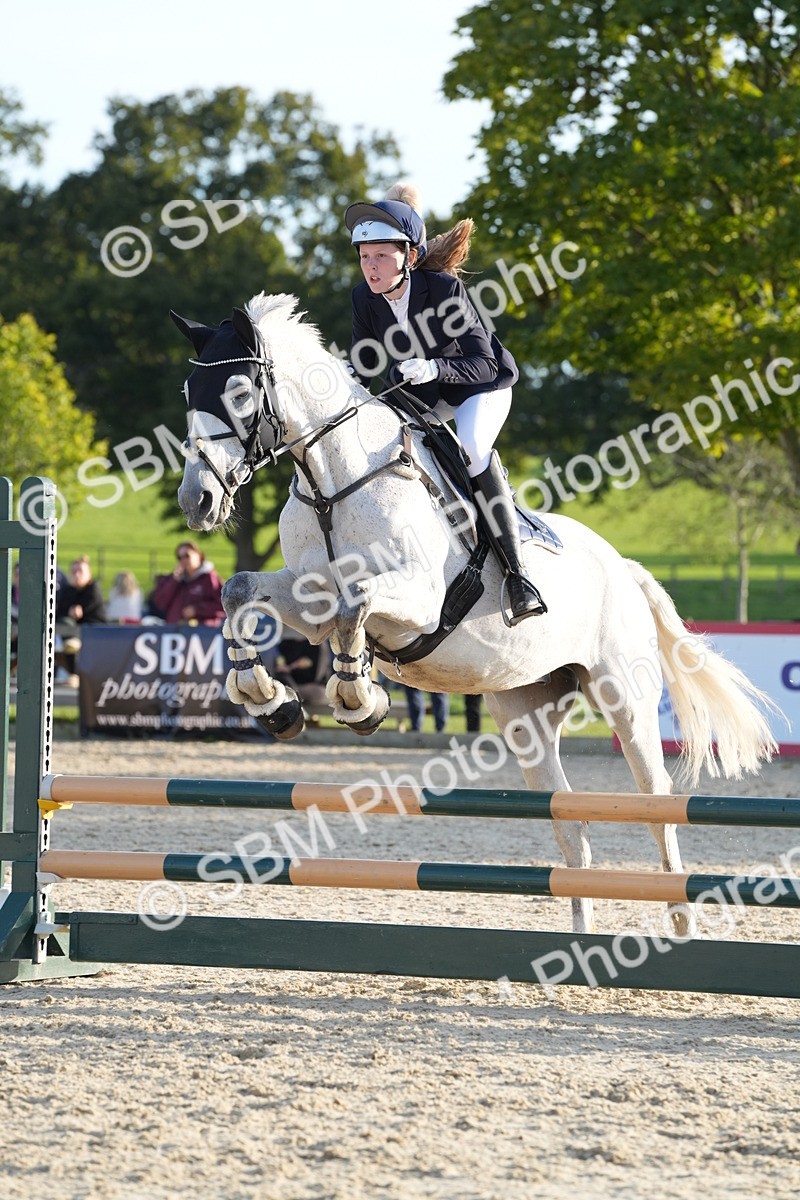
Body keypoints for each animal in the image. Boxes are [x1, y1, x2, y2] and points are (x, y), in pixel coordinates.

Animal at [172, 291, 777, 936]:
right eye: (188, 393)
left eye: (239, 393)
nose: (196, 501)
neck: (335, 482)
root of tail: (623, 567)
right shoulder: (310, 602)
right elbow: (241, 592)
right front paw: (269, 699)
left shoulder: (417, 601)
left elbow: (355, 604)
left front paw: (360, 698)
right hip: (527, 709)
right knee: (571, 824)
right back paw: (583, 939)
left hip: (626, 697)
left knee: (656, 804)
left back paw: (680, 923)